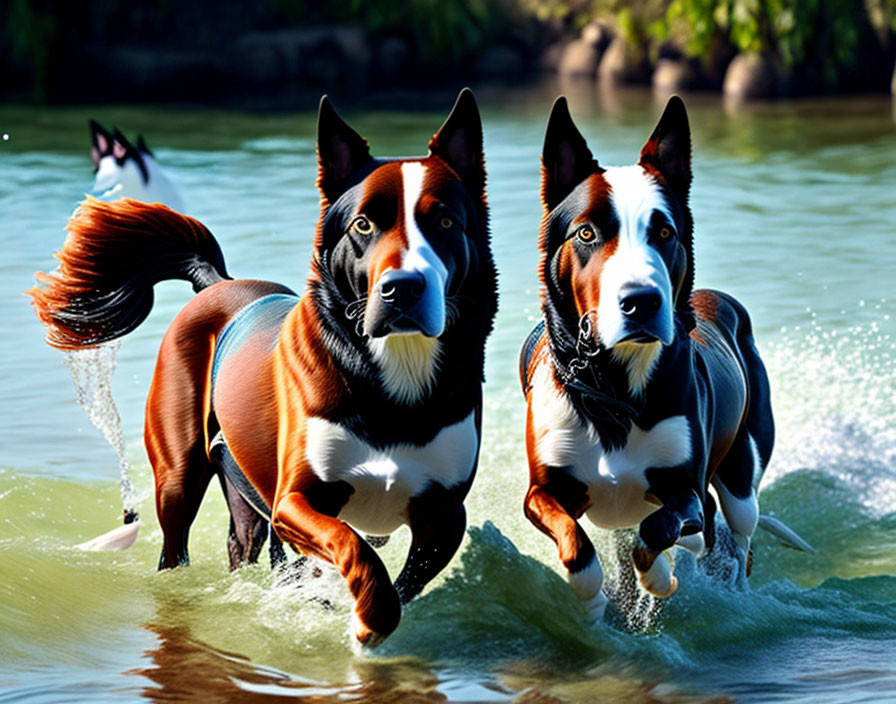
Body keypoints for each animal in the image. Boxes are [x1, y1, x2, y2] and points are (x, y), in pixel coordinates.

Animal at [31, 88, 496, 644]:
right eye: (363, 225)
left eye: (445, 222)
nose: (402, 288)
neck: (395, 380)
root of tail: (217, 283)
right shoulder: (294, 501)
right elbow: (351, 546)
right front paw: (367, 615)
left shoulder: (445, 516)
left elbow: (402, 574)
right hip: (178, 474)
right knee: (176, 545)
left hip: (240, 490)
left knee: (244, 543)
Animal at [520, 95, 780, 620]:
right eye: (585, 234)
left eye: (663, 231)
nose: (641, 300)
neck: (613, 386)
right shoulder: (543, 491)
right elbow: (576, 544)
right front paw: (593, 601)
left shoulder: (686, 492)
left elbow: (659, 530)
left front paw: (658, 576)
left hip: (743, 474)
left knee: (739, 535)